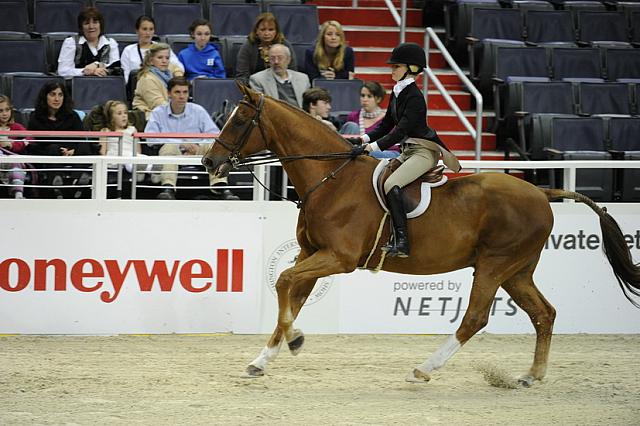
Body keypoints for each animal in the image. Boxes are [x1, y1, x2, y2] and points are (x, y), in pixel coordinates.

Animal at [201, 85, 640, 384]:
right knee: (543, 314)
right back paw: (531, 375)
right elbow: (291, 292)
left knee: (476, 317)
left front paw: (294, 340)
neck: (331, 178)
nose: (209, 162)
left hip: (495, 265)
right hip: (517, 270)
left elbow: (285, 283)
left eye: (238, 120)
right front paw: (264, 358)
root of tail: (541, 192)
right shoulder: (311, 254)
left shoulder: (338, 259)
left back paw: (424, 369)